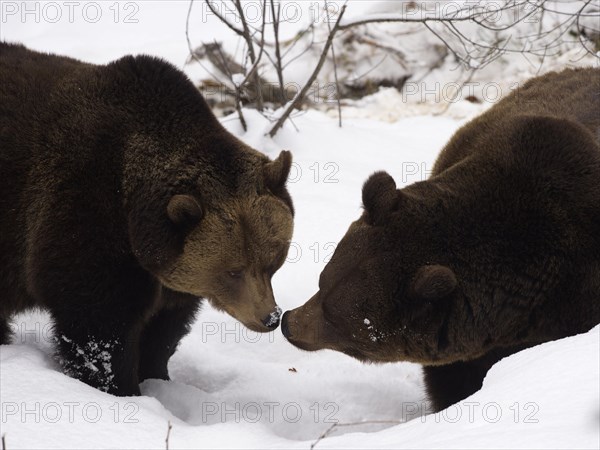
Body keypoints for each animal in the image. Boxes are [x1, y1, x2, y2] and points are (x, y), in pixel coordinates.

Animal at [0, 42, 294, 394]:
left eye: (273, 261)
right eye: (233, 271)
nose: (270, 317)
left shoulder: (168, 272)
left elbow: (164, 328)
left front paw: (157, 375)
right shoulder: (83, 213)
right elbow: (99, 324)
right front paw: (121, 388)